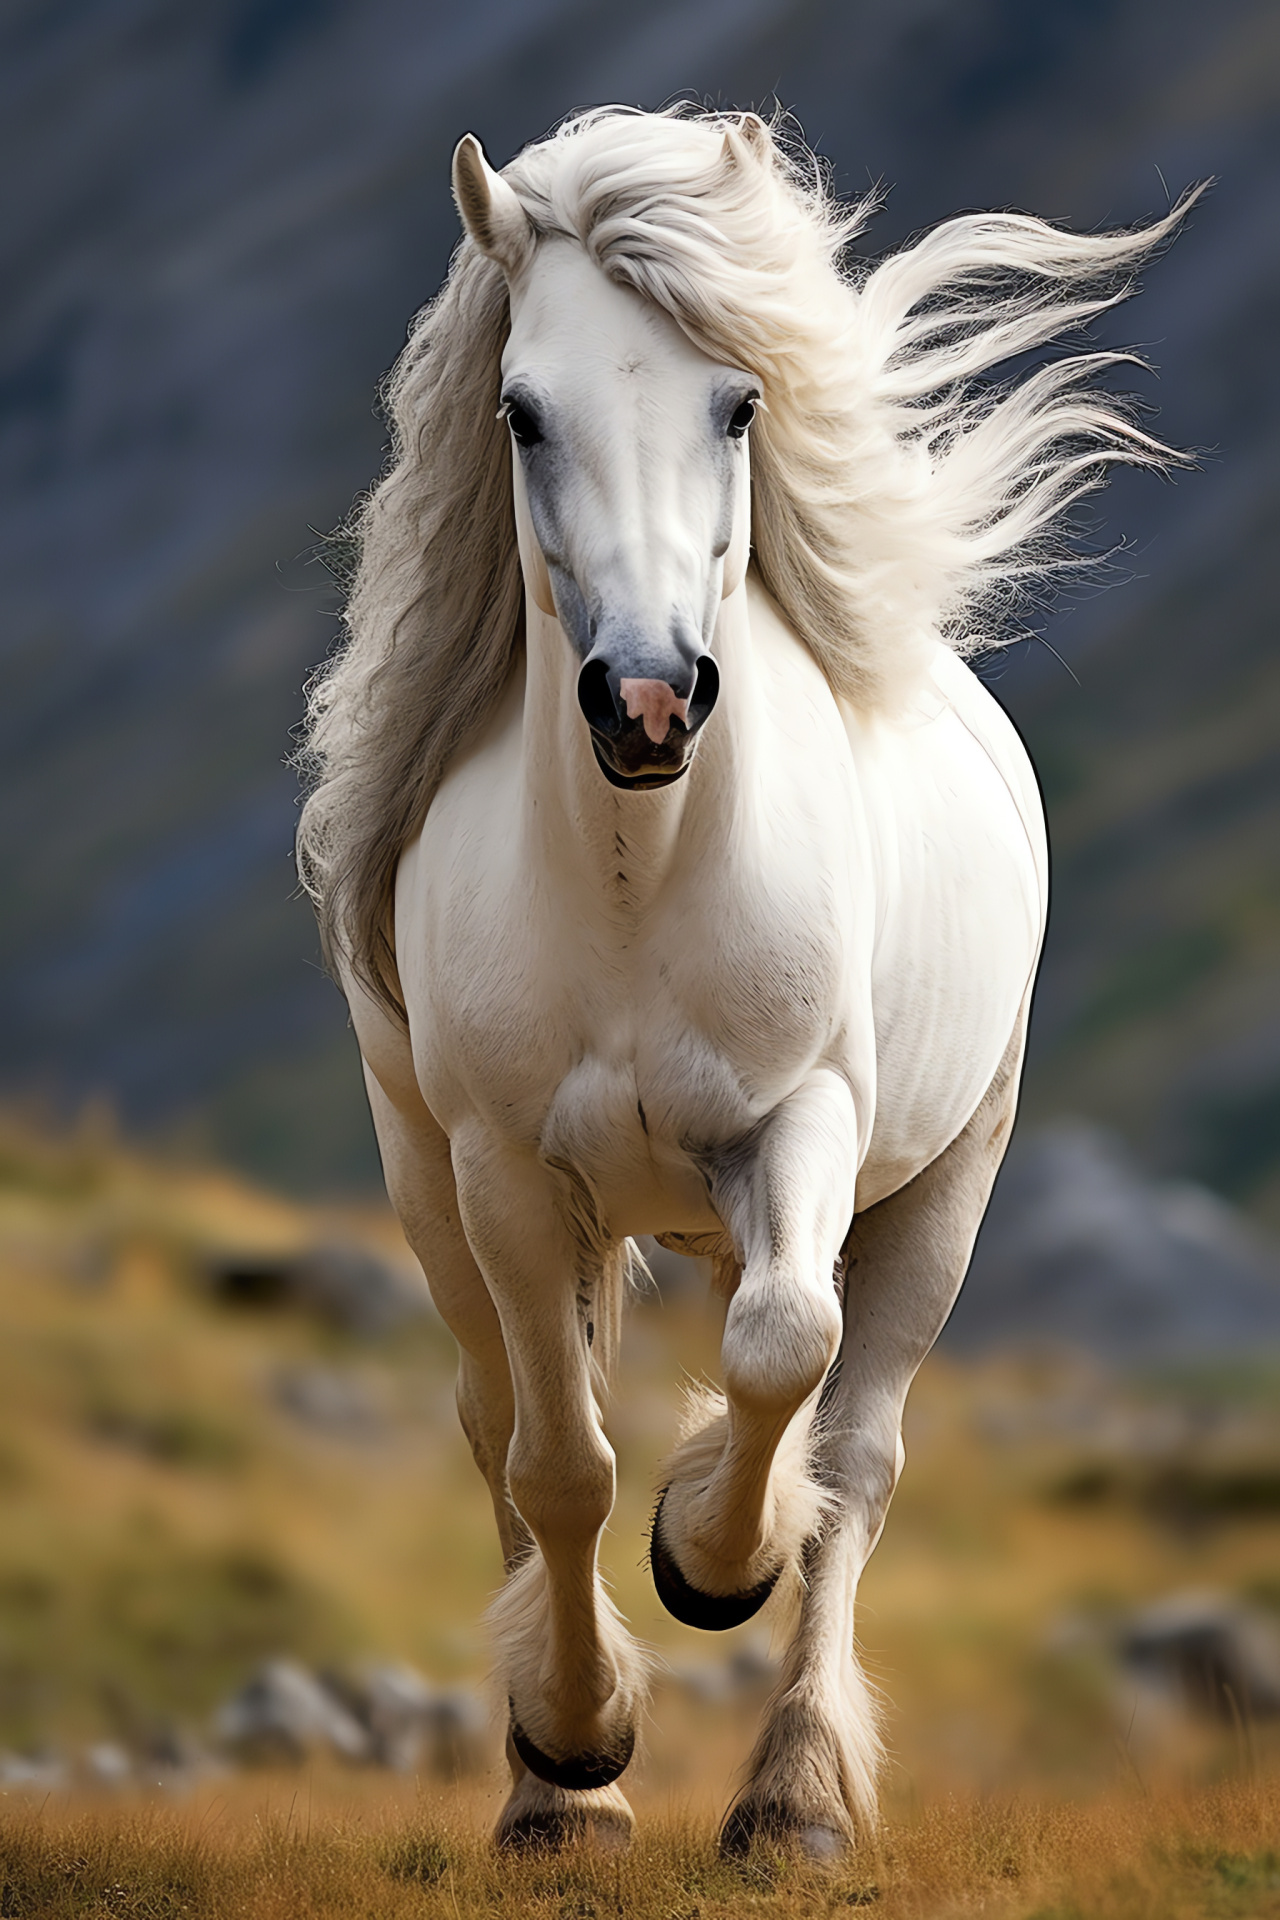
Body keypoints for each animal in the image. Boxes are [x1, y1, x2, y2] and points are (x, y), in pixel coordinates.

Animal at [295, 108, 1197, 1858]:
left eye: (739, 402)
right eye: (522, 411)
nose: (648, 701)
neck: (642, 876)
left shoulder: (806, 1124)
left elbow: (785, 1353)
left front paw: (713, 1553)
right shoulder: (503, 1174)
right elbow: (556, 1463)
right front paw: (575, 1754)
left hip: (945, 1182)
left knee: (860, 1446)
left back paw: (794, 1798)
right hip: (437, 1193)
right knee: (497, 1423)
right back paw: (550, 1786)